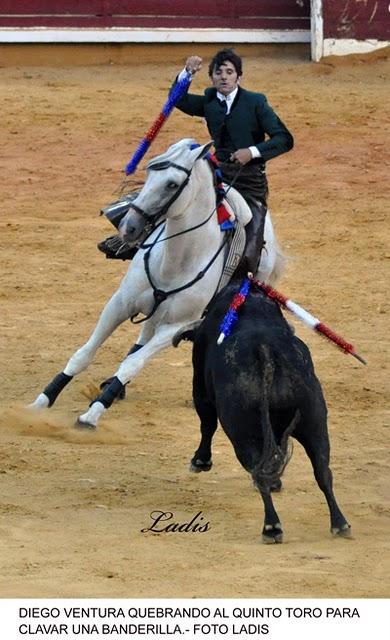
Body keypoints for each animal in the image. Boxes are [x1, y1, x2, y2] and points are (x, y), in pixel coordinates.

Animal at [30, 140, 284, 430]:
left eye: (172, 184)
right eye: (150, 172)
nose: (129, 227)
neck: (175, 261)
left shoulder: (175, 325)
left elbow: (133, 364)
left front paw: (91, 415)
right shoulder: (120, 303)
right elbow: (84, 353)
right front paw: (41, 401)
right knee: (140, 339)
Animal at [175, 282, 352, 544]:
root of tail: (266, 351)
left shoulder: (201, 390)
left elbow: (207, 424)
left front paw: (200, 461)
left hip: (243, 431)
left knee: (258, 471)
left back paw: (272, 527)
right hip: (315, 420)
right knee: (322, 471)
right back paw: (340, 524)